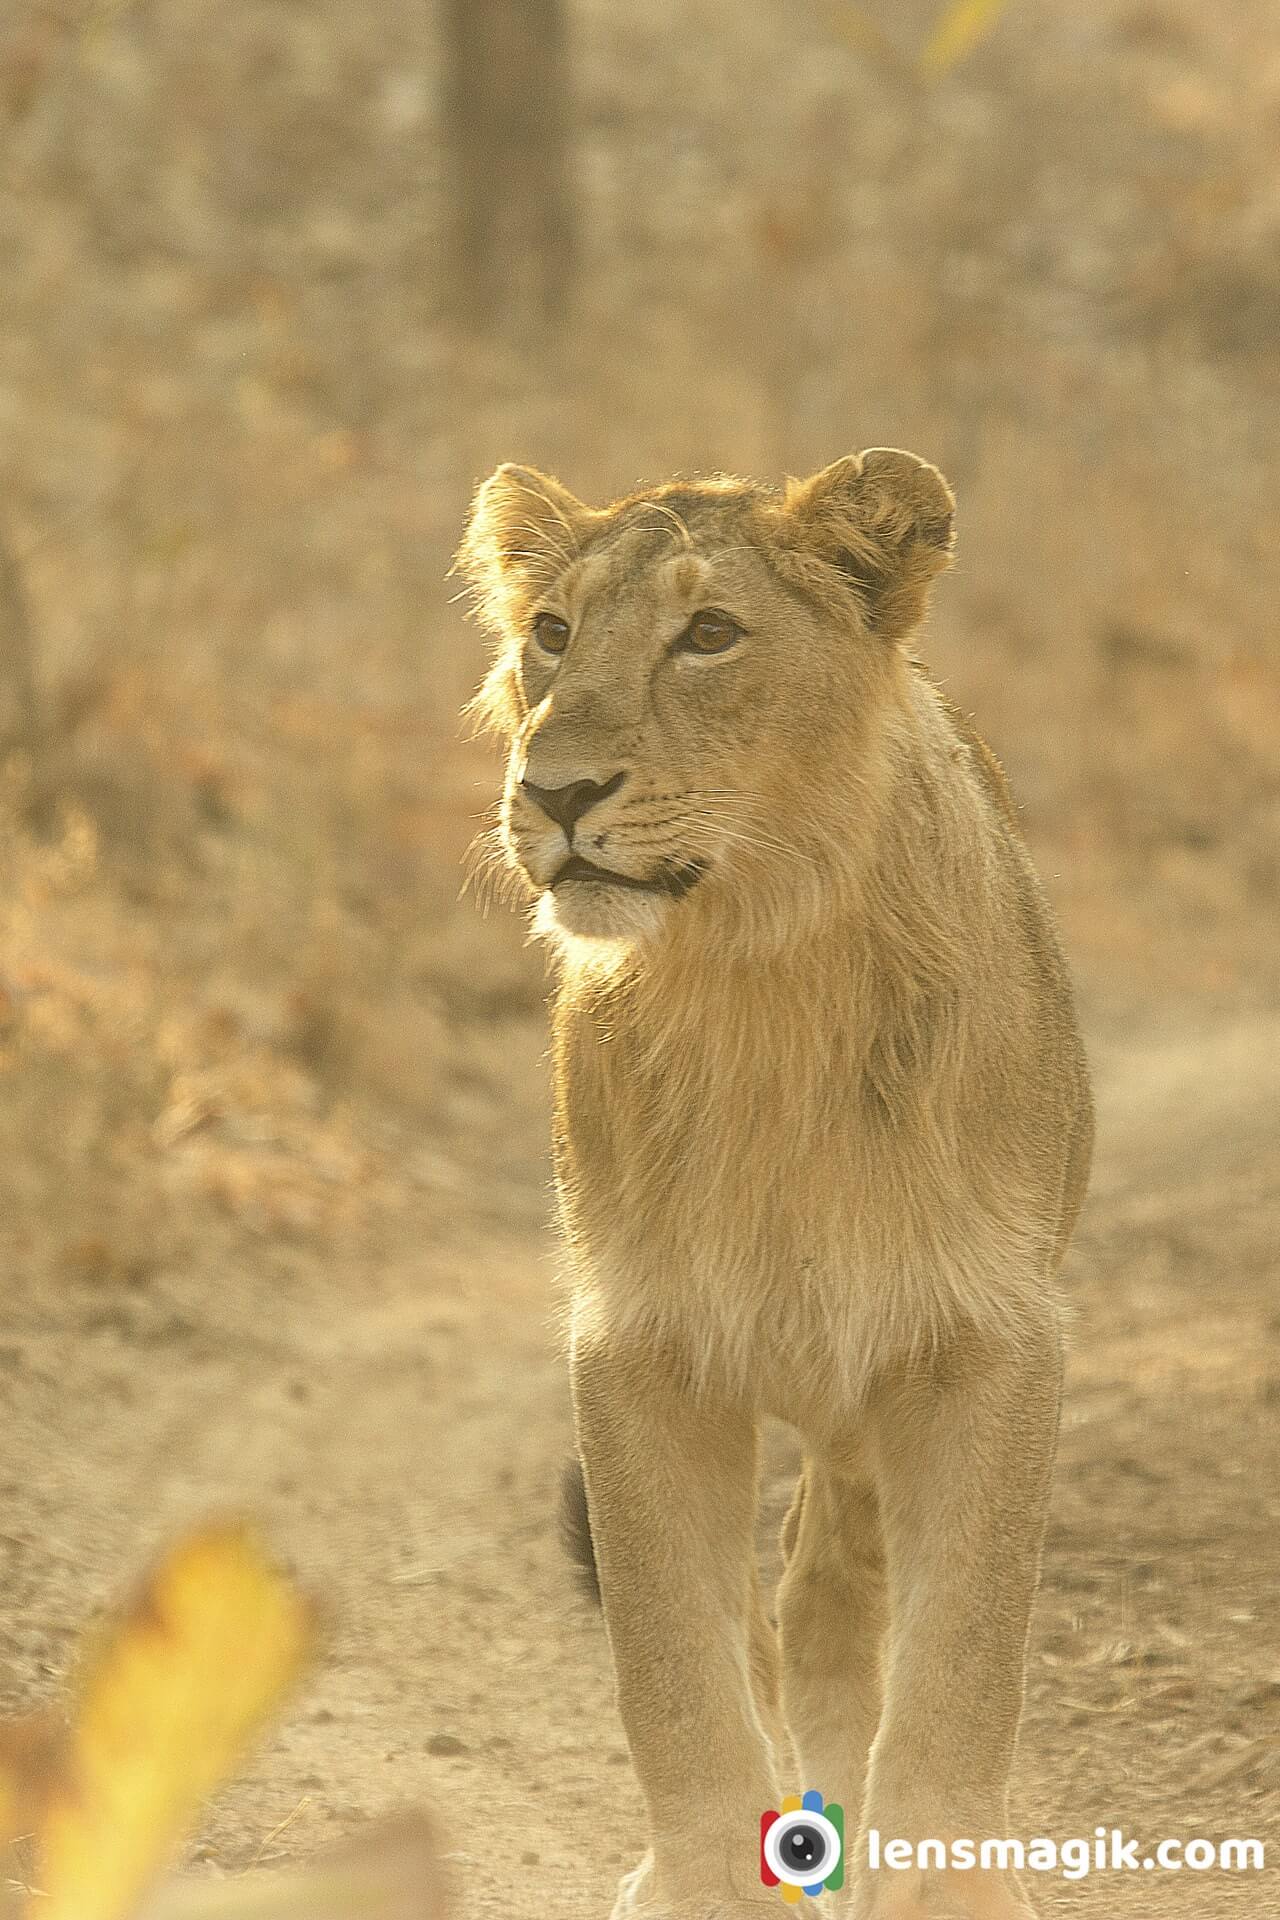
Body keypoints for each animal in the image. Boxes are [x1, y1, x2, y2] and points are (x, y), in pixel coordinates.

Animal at [454, 453, 1097, 1920]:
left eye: (708, 635)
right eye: (553, 633)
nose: (555, 792)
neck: (756, 972)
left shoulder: (988, 1336)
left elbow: (962, 1659)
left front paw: (942, 1885)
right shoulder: (638, 1342)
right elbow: (673, 1669)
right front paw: (700, 1884)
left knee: (827, 1609)